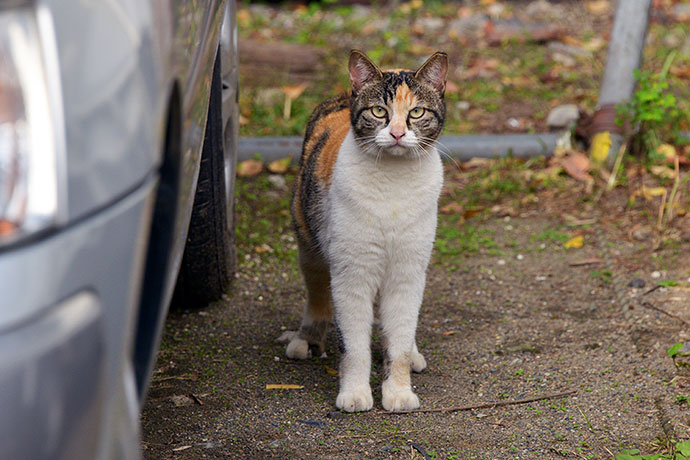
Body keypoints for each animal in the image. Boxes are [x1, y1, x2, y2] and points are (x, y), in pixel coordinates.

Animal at [280, 51, 446, 414]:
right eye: (379, 111)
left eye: (416, 112)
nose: (397, 133)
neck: (395, 185)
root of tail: (344, 95)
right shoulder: (351, 275)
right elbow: (354, 346)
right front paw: (355, 394)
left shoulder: (407, 272)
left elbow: (398, 342)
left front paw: (398, 393)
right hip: (308, 244)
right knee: (317, 295)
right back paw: (307, 339)